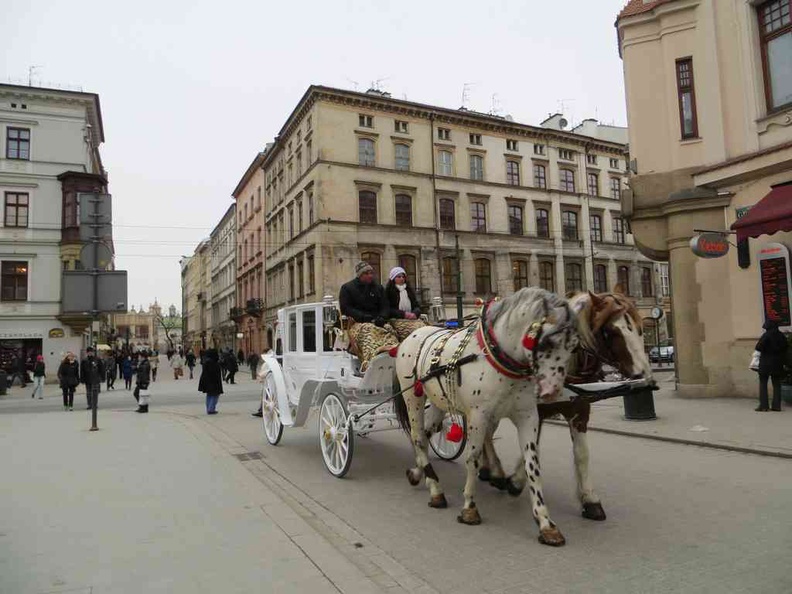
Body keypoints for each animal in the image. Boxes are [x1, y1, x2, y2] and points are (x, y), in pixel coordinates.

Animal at [394, 286, 584, 544]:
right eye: (545, 342)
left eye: (574, 346)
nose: (552, 392)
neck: (498, 356)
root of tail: (415, 332)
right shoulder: (478, 416)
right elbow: (472, 458)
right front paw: (469, 508)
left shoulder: (527, 416)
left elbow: (532, 465)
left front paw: (545, 523)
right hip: (413, 398)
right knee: (418, 438)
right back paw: (435, 490)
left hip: (438, 401)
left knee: (426, 433)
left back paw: (418, 474)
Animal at [476, 290, 656, 520]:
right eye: (610, 332)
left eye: (641, 328)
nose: (644, 377)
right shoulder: (535, 413)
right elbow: (534, 449)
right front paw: (516, 481)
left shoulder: (580, 411)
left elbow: (582, 453)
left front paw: (590, 499)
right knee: (485, 433)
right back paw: (495, 472)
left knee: (486, 433)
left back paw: (486, 469)